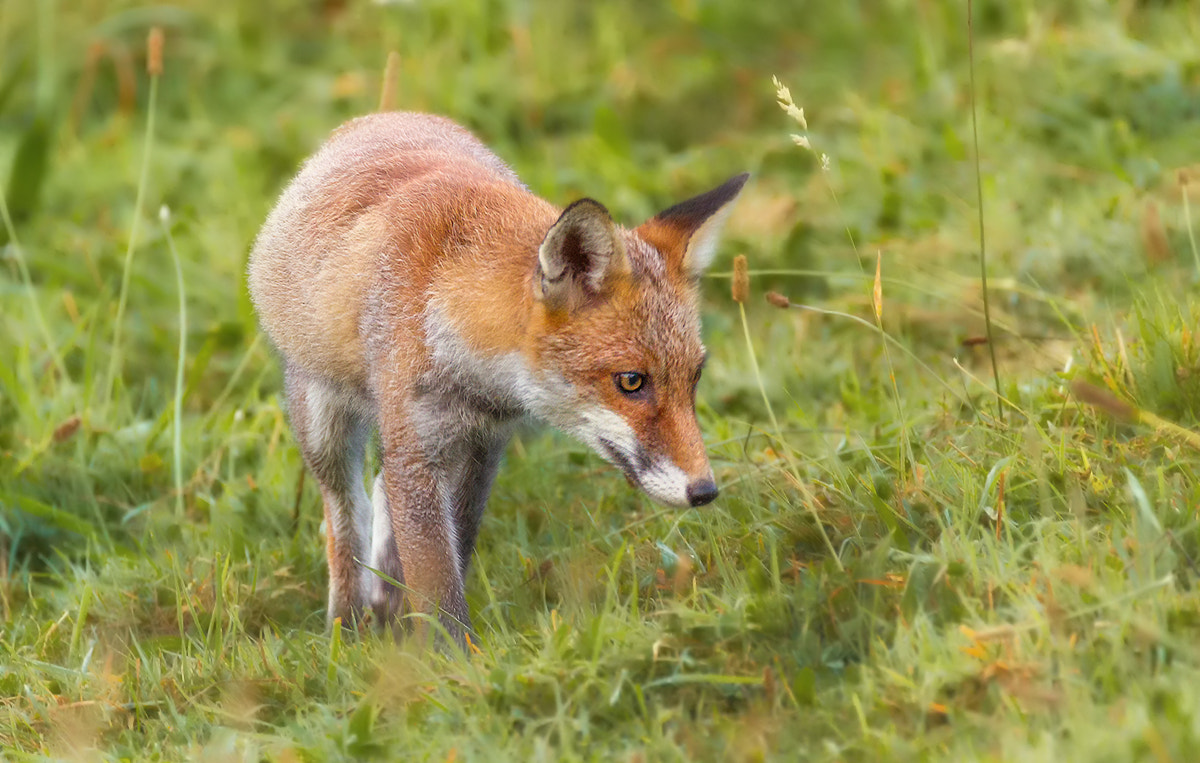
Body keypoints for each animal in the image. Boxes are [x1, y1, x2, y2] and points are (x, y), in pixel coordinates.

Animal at [248, 111, 747, 646]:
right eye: (631, 381)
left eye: (695, 377)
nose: (705, 492)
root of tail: (384, 116)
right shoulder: (417, 447)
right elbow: (436, 580)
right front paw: (445, 659)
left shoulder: (482, 445)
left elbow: (452, 551)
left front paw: (418, 634)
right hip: (325, 424)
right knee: (346, 516)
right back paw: (347, 625)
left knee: (381, 491)